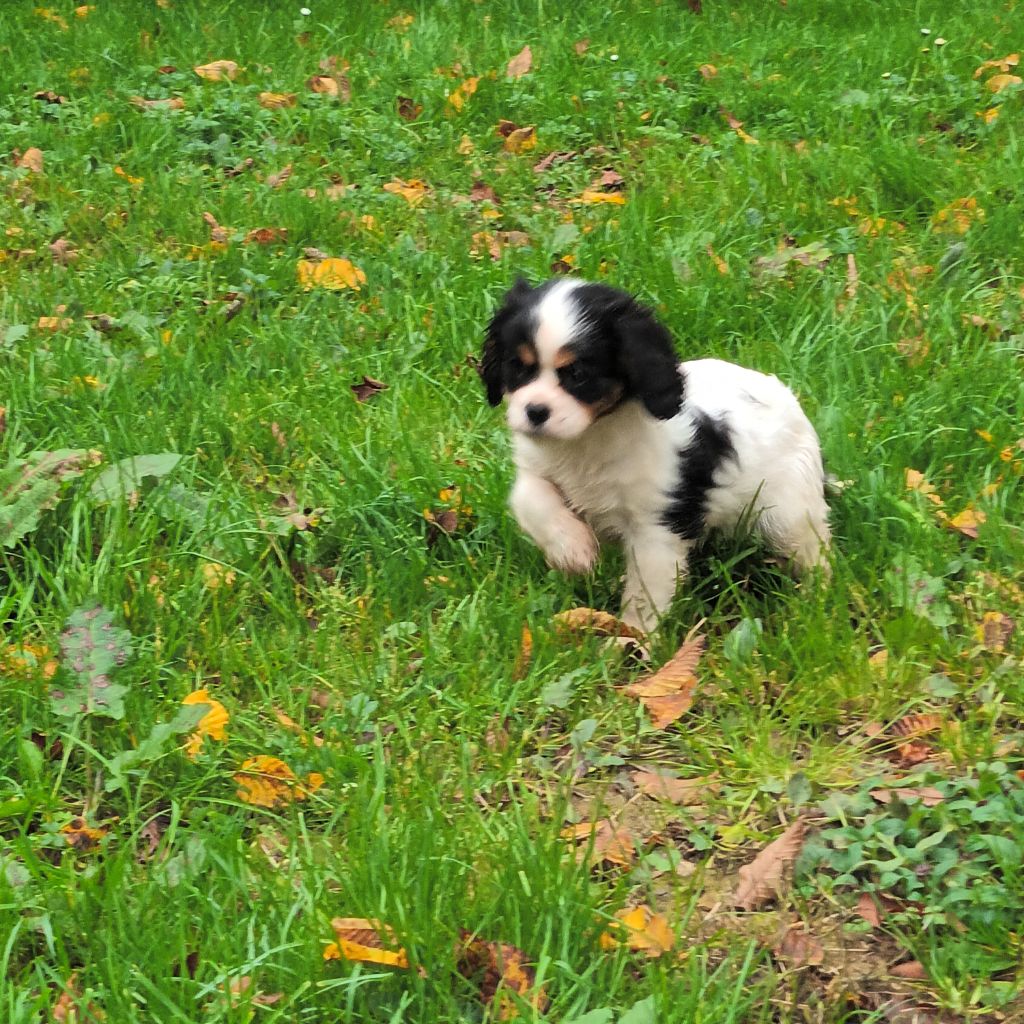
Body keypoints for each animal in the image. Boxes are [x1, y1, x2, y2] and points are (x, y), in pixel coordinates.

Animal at [480, 277, 831, 633]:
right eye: (518, 368)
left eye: (578, 374)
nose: (534, 412)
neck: (588, 437)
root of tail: (786, 396)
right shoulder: (535, 470)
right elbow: (531, 500)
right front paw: (573, 550)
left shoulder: (656, 525)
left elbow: (646, 588)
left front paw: (633, 636)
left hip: (788, 512)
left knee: (812, 551)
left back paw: (815, 598)